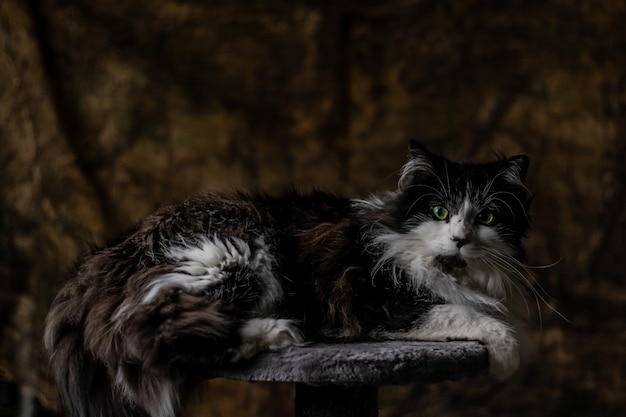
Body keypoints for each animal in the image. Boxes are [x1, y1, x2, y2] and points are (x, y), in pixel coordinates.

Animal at [44, 141, 532, 416]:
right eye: (439, 210)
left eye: (487, 217)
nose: (460, 239)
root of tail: (111, 253)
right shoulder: (382, 305)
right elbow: (468, 315)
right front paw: (508, 360)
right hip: (237, 255)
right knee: (160, 332)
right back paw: (281, 332)